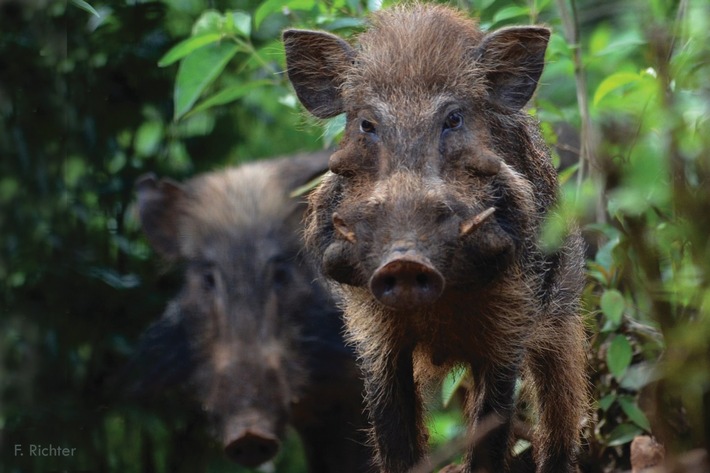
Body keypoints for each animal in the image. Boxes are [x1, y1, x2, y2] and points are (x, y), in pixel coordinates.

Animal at [284, 4, 588, 472]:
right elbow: (394, 436)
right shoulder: (374, 335)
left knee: (559, 417)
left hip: (565, 317)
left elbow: (490, 433)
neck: (441, 310)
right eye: (366, 124)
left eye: (454, 120)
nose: (405, 261)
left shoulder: (510, 326)